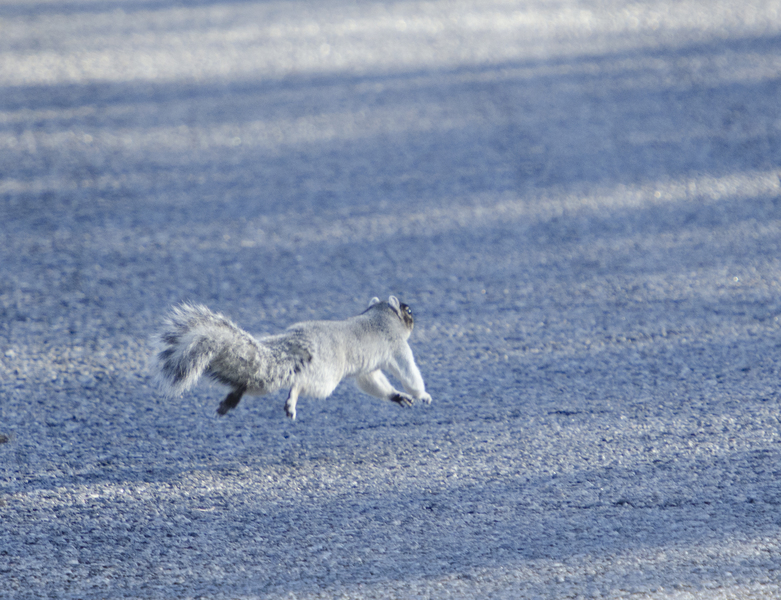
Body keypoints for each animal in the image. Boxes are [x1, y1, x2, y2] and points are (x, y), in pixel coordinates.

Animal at [152, 294, 432, 418]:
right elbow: (409, 372)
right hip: (325, 377)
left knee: (254, 379)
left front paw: (397, 395)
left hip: (264, 377)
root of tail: (297, 341)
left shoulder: (368, 369)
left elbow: (373, 382)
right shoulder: (397, 346)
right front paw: (422, 394)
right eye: (407, 310)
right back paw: (292, 400)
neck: (379, 315)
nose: (415, 316)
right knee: (300, 383)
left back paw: (231, 399)